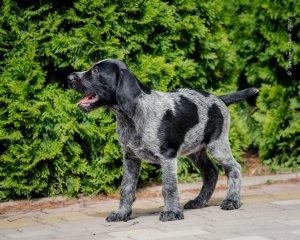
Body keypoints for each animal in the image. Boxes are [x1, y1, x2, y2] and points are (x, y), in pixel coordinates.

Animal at [67, 59, 258, 222]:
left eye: (96, 71)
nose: (69, 77)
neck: (131, 116)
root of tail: (219, 98)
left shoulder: (167, 156)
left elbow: (169, 187)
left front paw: (171, 212)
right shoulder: (130, 157)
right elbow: (126, 188)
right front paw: (121, 214)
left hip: (217, 145)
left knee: (234, 169)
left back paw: (232, 201)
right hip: (195, 150)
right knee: (211, 173)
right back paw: (199, 201)